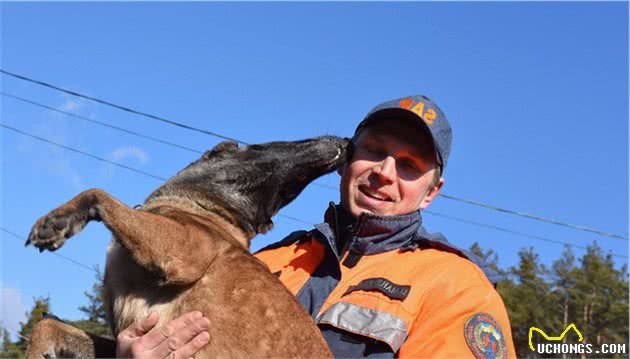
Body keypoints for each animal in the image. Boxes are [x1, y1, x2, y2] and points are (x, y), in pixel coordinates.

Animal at [25, 136, 350, 358]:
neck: (210, 210)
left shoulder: (182, 251)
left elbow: (97, 192)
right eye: (256, 146)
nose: (345, 141)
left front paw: (58, 219)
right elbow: (46, 325)